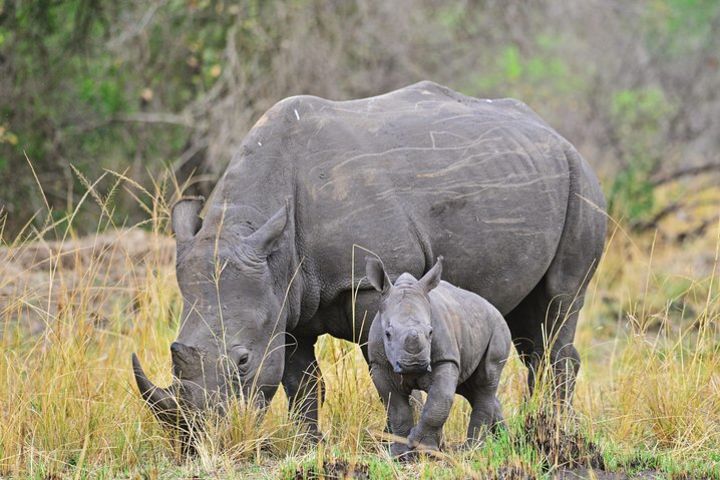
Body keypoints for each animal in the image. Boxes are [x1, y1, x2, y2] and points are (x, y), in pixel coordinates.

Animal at [132, 80, 604, 436]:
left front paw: (401, 439)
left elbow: (391, 371)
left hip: (581, 182)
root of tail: (555, 135)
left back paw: (551, 431)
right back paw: (518, 432)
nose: (193, 439)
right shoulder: (286, 299)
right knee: (526, 325)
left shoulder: (373, 285)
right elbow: (301, 382)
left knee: (560, 303)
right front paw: (308, 444)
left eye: (243, 360)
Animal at [366, 256, 512, 456]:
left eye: (430, 332)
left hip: (498, 327)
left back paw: (471, 450)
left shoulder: (446, 358)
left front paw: (424, 449)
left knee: (485, 381)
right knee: (470, 387)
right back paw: (504, 442)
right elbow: (395, 407)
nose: (414, 364)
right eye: (387, 334)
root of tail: (492, 307)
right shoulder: (379, 364)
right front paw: (400, 453)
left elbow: (439, 401)